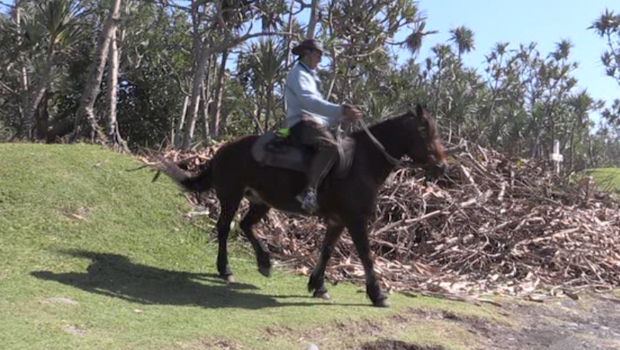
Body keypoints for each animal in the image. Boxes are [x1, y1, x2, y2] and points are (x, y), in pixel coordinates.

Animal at [156, 104, 446, 306]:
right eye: (424, 130)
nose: (442, 165)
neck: (363, 162)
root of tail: (222, 150)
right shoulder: (355, 219)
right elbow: (366, 255)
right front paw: (377, 295)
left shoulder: (337, 220)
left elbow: (326, 251)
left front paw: (318, 286)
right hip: (231, 196)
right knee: (224, 228)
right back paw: (225, 269)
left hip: (261, 202)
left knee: (245, 225)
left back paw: (264, 262)